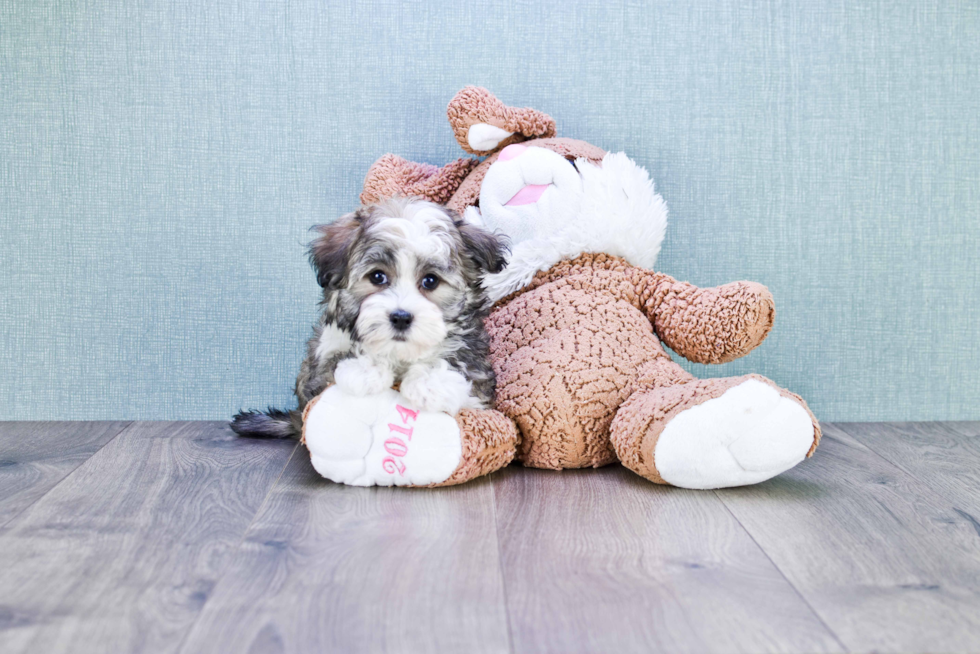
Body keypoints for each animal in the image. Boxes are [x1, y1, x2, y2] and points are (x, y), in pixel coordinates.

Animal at [230, 197, 506, 438]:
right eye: (377, 277)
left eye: (430, 281)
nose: (401, 317)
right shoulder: (318, 364)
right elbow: (339, 356)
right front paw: (365, 369)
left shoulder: (479, 387)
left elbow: (458, 366)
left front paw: (430, 384)